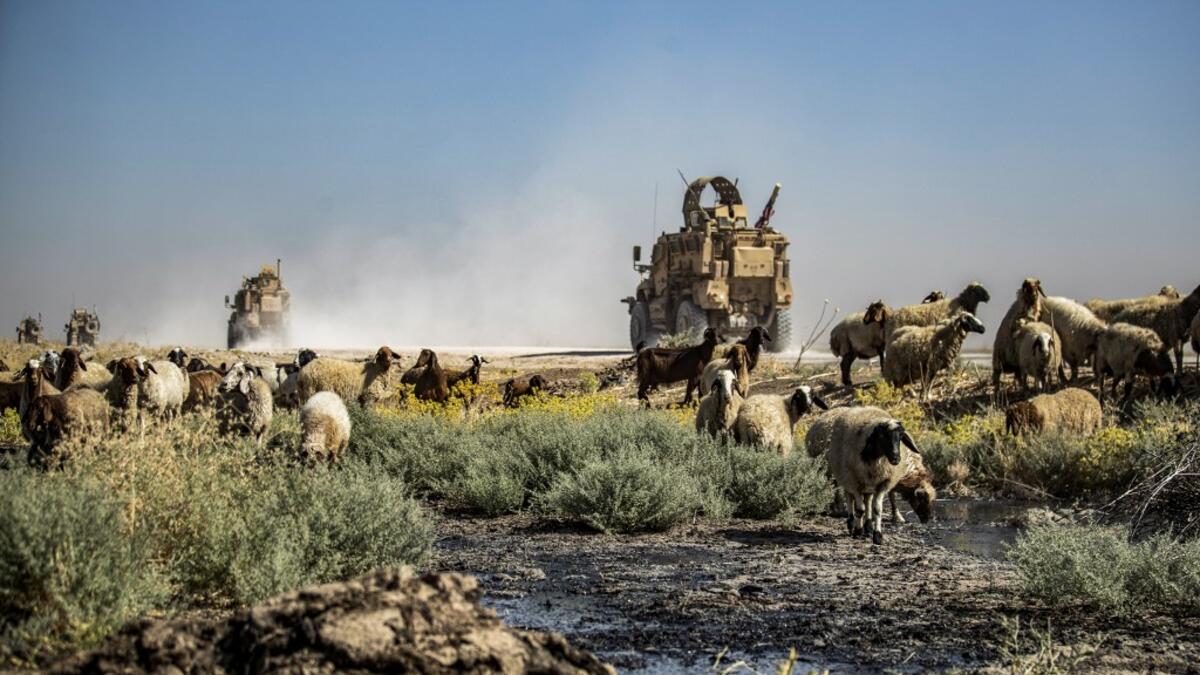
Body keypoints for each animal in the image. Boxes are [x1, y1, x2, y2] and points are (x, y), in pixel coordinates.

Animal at [804, 406, 923, 544]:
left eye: (900, 437)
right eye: (881, 436)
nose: (896, 459)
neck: (876, 459)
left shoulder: (882, 484)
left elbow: (877, 509)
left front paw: (877, 535)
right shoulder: (854, 482)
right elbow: (859, 509)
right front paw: (857, 531)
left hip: (866, 482)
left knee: (867, 501)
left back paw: (868, 526)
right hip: (846, 476)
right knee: (850, 499)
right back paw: (852, 524)